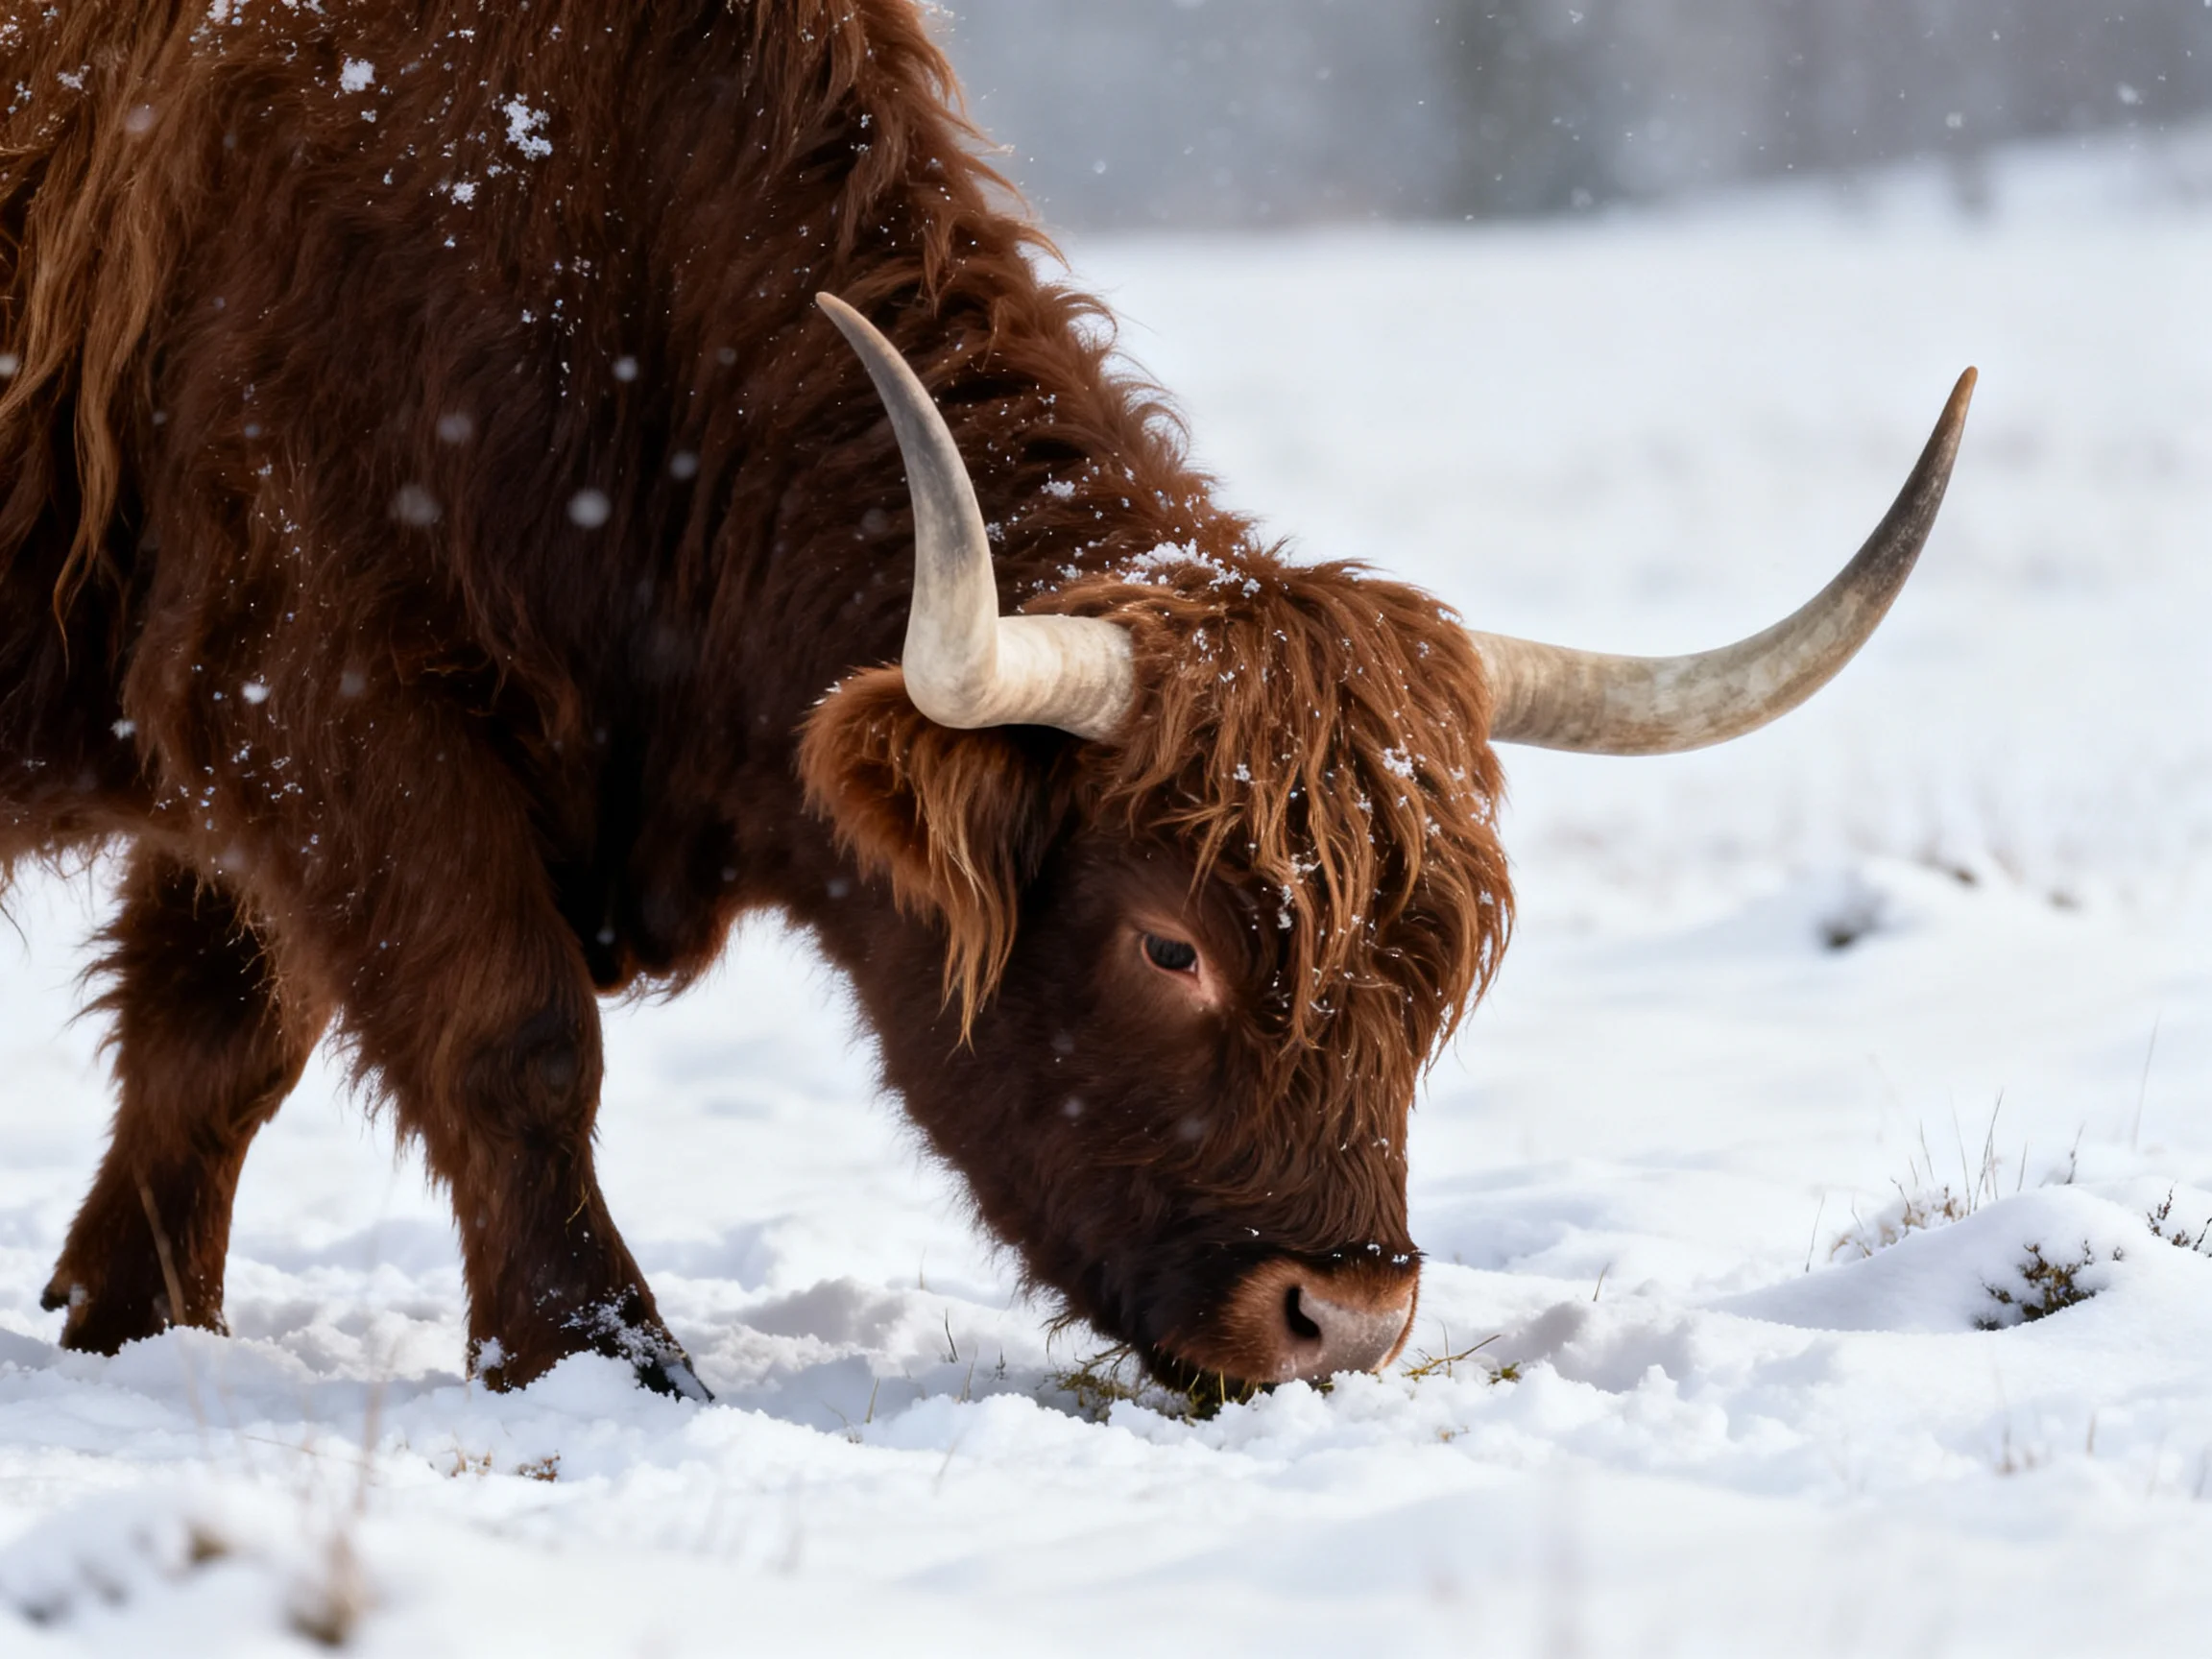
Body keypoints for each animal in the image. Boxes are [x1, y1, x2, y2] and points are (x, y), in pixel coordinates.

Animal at [0, 0, 1971, 1401]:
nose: (1341, 1319)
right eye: (1170, 943)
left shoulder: (236, 750)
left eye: (1438, 964)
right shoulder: (318, 686)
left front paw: (126, 1320)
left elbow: (209, 1050)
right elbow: (511, 1034)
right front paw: (601, 1358)